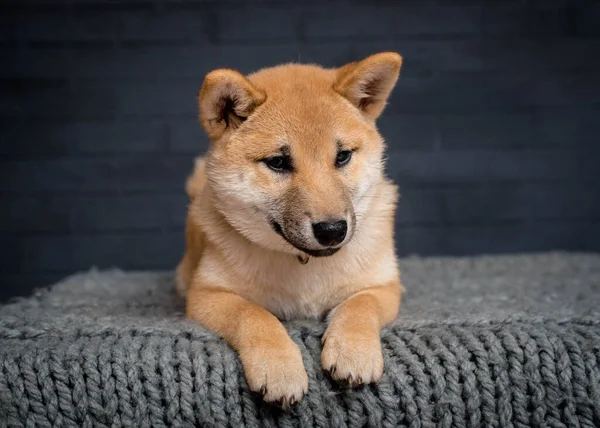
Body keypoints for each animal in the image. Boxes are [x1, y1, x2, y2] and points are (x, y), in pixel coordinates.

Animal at [176, 52, 406, 408]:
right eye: (278, 162)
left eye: (342, 156)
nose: (332, 229)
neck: (304, 267)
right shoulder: (207, 295)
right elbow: (254, 315)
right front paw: (279, 368)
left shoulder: (383, 286)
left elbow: (359, 307)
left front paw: (353, 351)